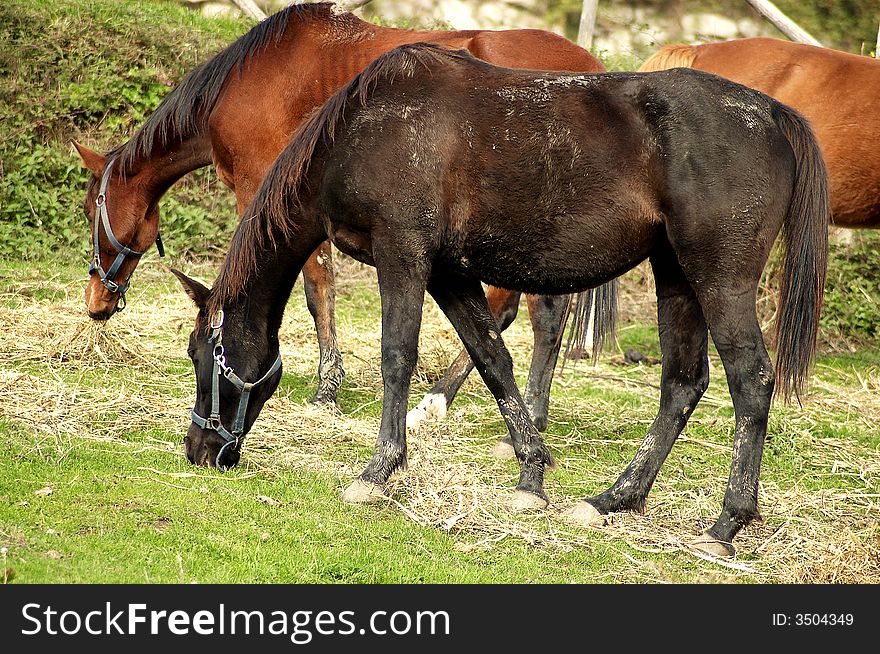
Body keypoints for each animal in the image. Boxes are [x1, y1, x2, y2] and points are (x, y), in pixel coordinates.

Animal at [74, 0, 604, 418]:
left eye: (87, 211)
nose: (95, 303)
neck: (246, 82)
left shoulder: (263, 191)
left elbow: (315, 287)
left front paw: (327, 385)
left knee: (526, 311)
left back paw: (454, 402)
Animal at [175, 44, 828, 560]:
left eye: (202, 355)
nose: (199, 450)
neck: (366, 130)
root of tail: (773, 115)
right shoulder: (449, 275)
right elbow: (493, 362)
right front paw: (531, 477)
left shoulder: (403, 255)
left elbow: (398, 357)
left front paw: (379, 471)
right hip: (677, 278)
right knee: (682, 384)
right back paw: (614, 500)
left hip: (719, 280)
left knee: (750, 381)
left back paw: (725, 525)